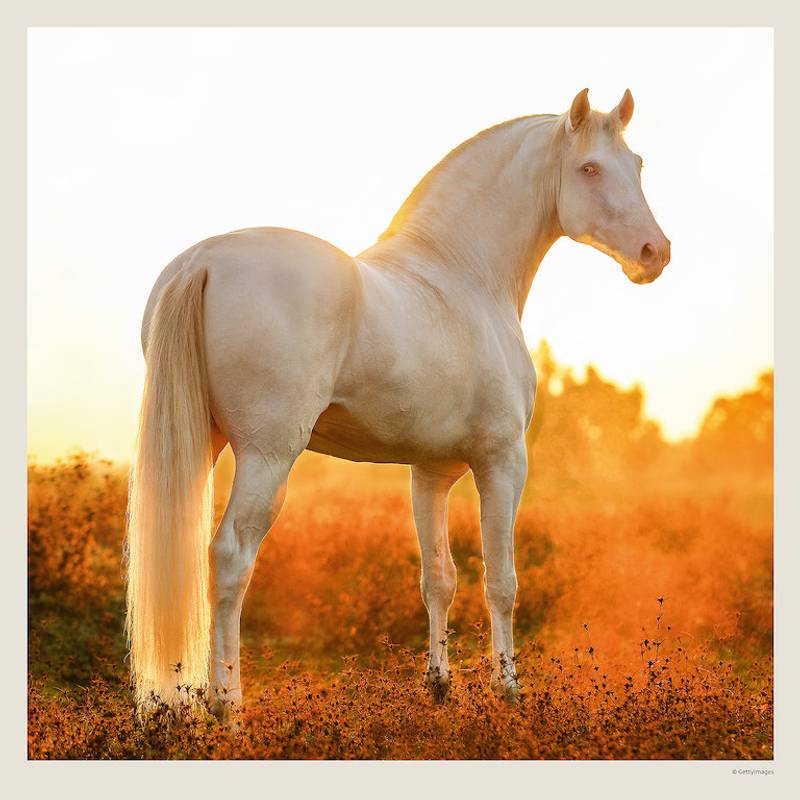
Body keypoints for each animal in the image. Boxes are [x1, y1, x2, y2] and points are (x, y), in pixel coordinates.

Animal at [125, 88, 670, 720]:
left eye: (637, 165)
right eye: (589, 169)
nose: (655, 253)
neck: (462, 277)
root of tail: (204, 261)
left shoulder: (429, 472)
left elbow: (439, 577)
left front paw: (439, 684)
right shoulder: (503, 463)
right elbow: (502, 580)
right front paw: (507, 690)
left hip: (201, 444)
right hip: (267, 456)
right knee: (232, 556)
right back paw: (227, 706)